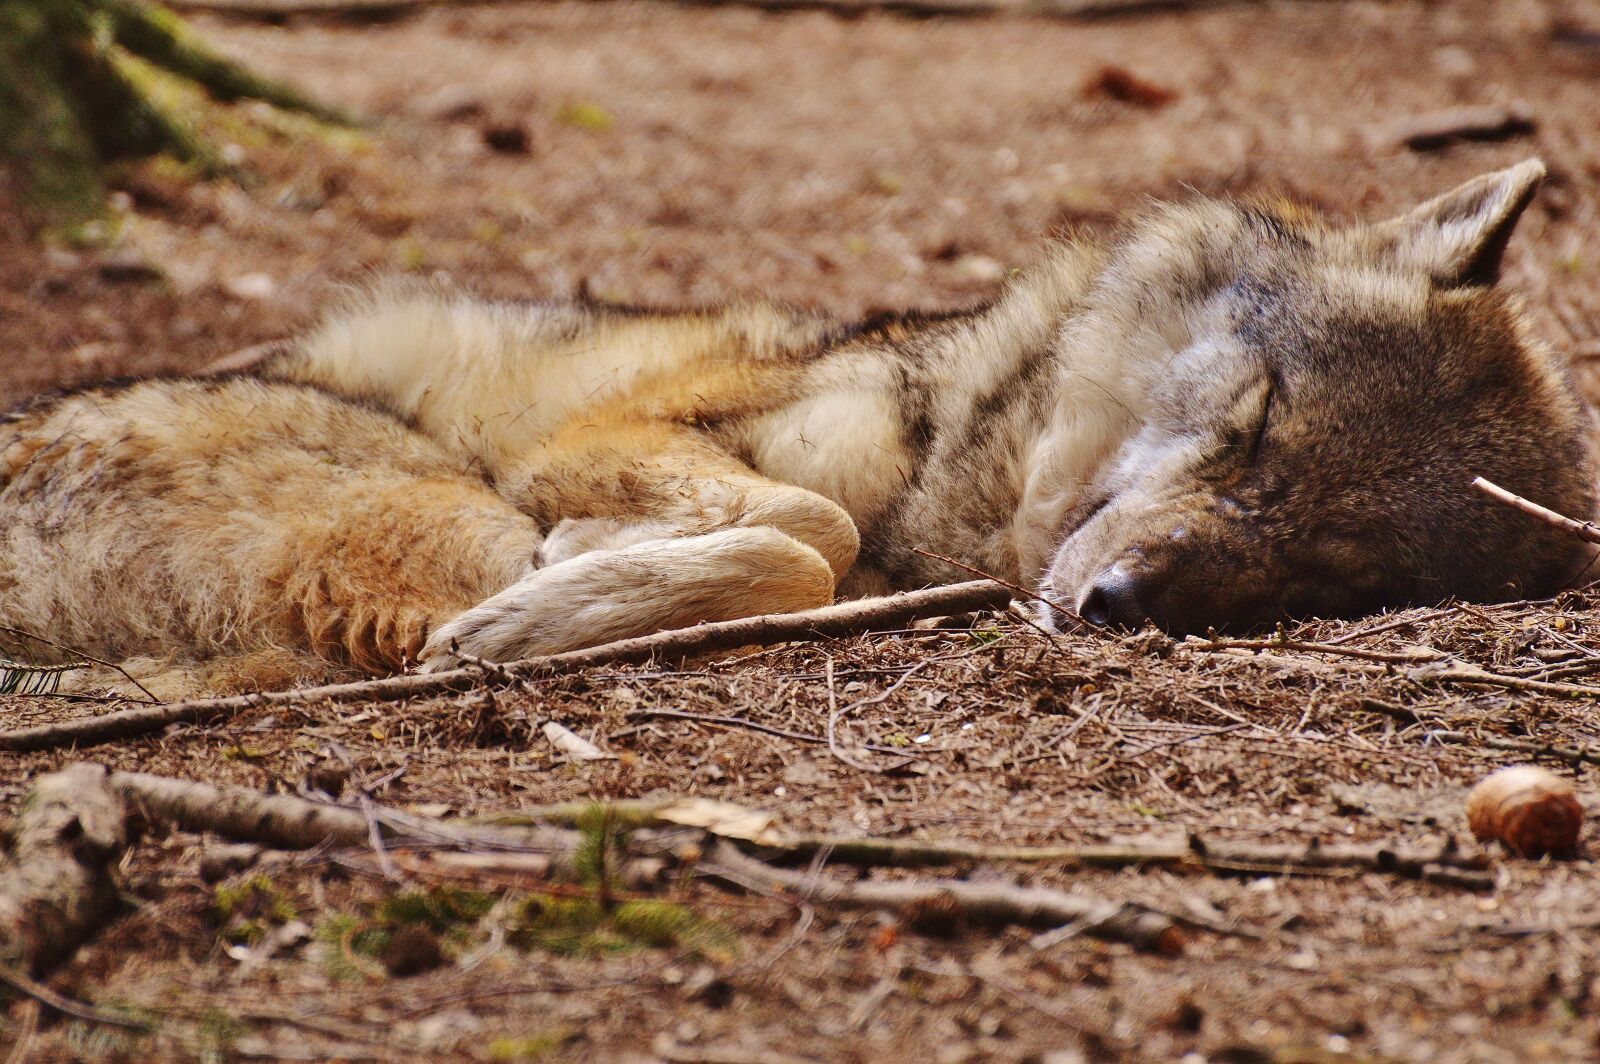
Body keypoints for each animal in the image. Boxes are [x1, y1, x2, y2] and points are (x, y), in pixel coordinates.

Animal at [0, 160, 1590, 696]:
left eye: (1335, 574)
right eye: (1254, 430)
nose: (1124, 603)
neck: (947, 456)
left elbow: (809, 541)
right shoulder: (610, 432)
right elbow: (808, 527)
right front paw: (549, 612)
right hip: (439, 499)